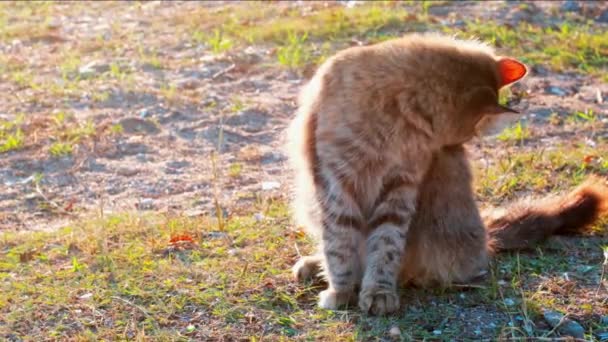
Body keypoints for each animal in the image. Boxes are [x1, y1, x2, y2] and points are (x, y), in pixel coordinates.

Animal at [284, 33, 608, 316]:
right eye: (468, 134)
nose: (456, 147)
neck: (393, 123)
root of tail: (486, 236)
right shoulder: (337, 181)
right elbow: (339, 244)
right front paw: (341, 291)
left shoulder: (400, 186)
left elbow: (385, 245)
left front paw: (377, 291)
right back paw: (314, 266)